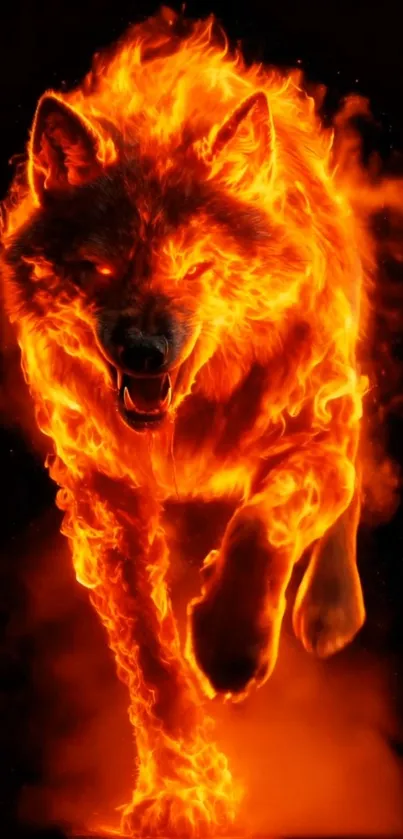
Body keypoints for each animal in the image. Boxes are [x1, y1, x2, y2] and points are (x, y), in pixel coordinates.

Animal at [1, 8, 368, 835]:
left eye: (196, 266)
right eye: (99, 268)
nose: (143, 348)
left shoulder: (309, 428)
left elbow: (266, 518)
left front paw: (231, 645)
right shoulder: (102, 494)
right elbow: (148, 649)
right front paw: (176, 793)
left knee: (354, 469)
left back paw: (328, 612)